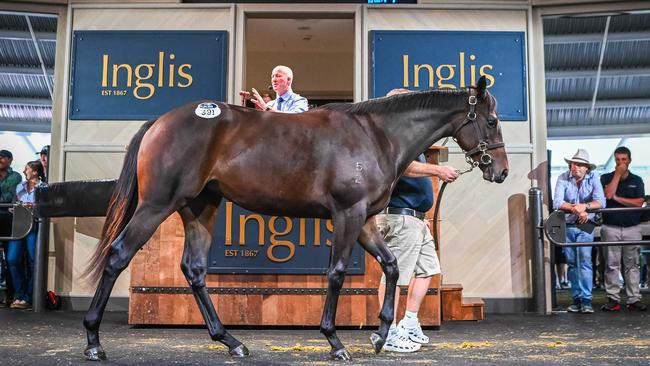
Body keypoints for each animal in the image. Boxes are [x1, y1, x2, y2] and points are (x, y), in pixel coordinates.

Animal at [81, 76, 506, 362]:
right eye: (491, 121)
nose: (499, 171)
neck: (376, 135)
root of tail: (159, 122)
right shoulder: (347, 215)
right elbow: (336, 273)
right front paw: (334, 341)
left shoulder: (365, 220)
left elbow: (390, 266)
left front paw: (381, 334)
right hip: (157, 205)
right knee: (118, 255)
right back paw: (93, 342)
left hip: (200, 208)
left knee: (194, 269)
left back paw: (232, 342)